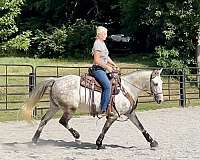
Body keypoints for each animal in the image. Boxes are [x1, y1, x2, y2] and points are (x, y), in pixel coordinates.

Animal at [21, 69, 163, 150]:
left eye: (162, 83)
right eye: (155, 83)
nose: (160, 100)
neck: (126, 88)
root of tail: (56, 80)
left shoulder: (130, 113)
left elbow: (140, 126)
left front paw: (152, 142)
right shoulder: (113, 115)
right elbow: (105, 128)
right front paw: (99, 143)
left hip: (54, 107)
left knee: (44, 120)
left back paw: (34, 140)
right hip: (70, 108)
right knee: (63, 121)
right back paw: (77, 137)